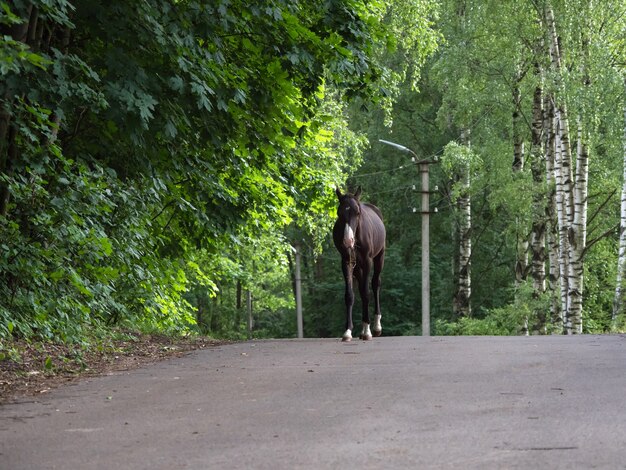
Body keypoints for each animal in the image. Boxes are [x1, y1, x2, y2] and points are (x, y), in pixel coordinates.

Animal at [332, 187, 386, 342]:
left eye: (357, 212)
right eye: (339, 213)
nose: (348, 241)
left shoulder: (367, 261)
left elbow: (366, 293)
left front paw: (368, 330)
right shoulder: (347, 261)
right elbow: (350, 295)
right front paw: (348, 331)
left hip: (379, 257)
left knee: (375, 283)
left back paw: (375, 327)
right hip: (357, 266)